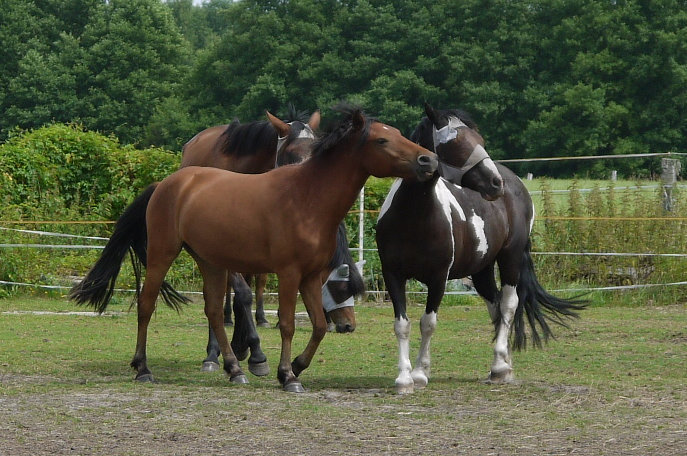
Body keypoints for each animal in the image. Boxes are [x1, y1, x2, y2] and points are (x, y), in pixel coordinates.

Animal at [68, 106, 436, 392]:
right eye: (382, 140)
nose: (428, 159)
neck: (307, 199)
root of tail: (168, 183)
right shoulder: (288, 275)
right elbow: (286, 323)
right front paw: (287, 375)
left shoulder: (310, 277)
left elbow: (318, 325)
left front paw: (296, 365)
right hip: (162, 255)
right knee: (146, 306)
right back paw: (143, 368)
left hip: (211, 263)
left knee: (214, 312)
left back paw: (233, 368)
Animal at [376, 103, 584, 392]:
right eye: (456, 142)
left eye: (480, 140)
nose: (495, 183)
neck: (414, 216)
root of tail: (515, 183)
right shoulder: (392, 274)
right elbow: (402, 325)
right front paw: (404, 378)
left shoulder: (438, 278)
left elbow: (428, 323)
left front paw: (419, 373)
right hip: (481, 269)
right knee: (495, 307)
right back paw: (506, 361)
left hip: (510, 259)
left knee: (508, 305)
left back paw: (499, 367)